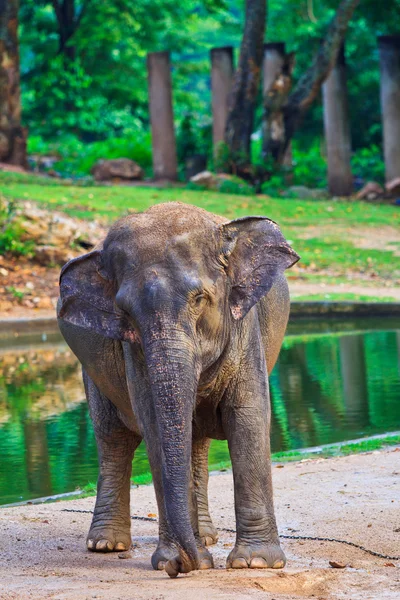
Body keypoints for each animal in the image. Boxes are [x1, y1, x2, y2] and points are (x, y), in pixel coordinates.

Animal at [57, 202, 298, 576]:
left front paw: (256, 563)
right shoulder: (134, 351)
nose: (181, 566)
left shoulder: (245, 326)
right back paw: (106, 545)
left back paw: (207, 538)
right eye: (124, 311)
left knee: (194, 442)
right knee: (113, 438)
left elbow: (248, 416)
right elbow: (154, 425)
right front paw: (175, 559)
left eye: (200, 298)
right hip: (91, 374)